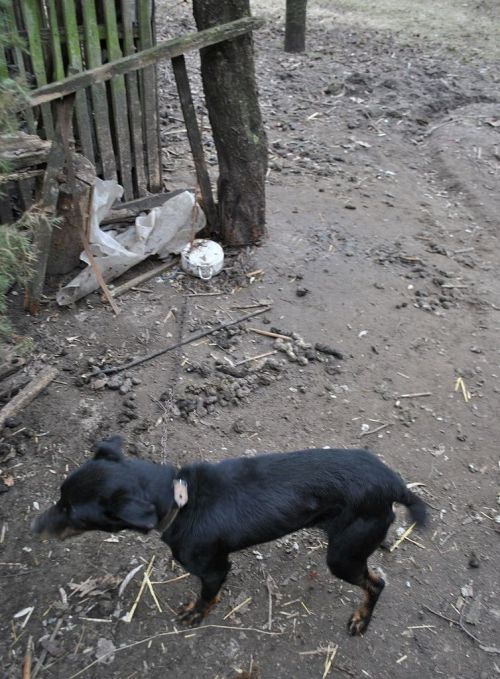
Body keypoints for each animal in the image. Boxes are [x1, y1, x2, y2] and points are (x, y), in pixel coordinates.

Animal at [32, 436, 426, 635]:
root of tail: (395, 483)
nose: (35, 527)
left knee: (376, 583)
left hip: (342, 556)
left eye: (71, 512)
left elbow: (204, 596)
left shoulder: (214, 568)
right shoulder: (215, 570)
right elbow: (212, 594)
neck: (181, 498)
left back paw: (361, 619)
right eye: (60, 497)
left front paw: (196, 614)